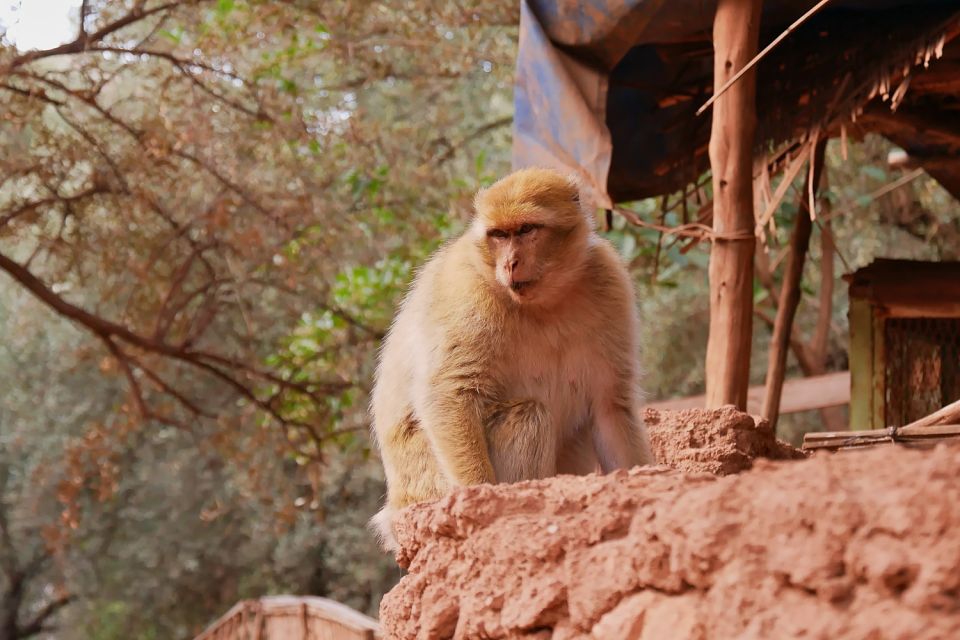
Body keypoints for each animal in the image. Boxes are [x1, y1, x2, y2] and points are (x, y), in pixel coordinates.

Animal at [368, 166, 652, 552]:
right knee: (529, 415)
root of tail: (395, 511)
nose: (510, 263)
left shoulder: (609, 282)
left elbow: (610, 405)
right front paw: (478, 498)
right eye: (500, 235)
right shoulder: (466, 290)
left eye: (527, 230)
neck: (545, 302)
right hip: (428, 487)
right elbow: (450, 392)